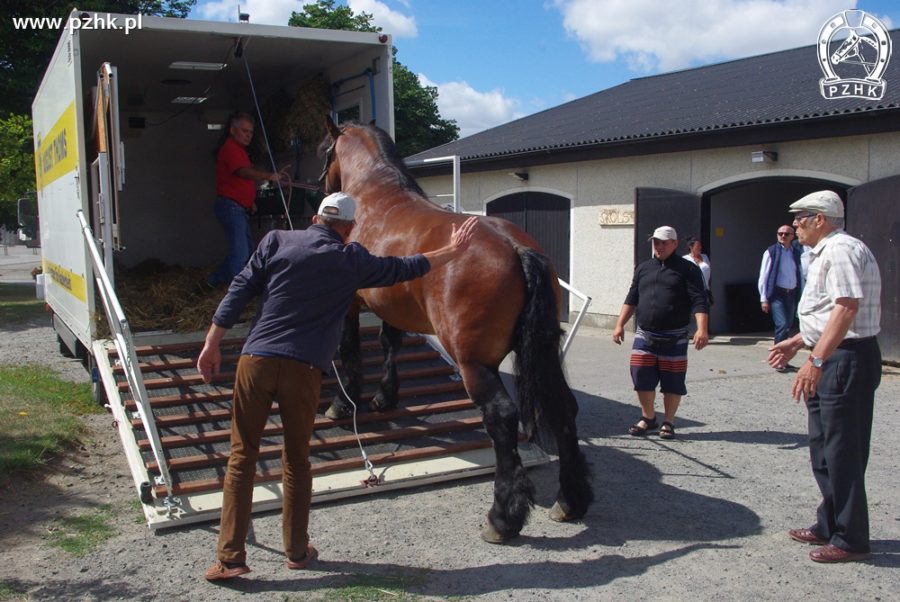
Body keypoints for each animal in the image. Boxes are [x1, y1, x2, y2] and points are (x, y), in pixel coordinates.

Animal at [320, 117, 596, 540]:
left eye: (323, 150)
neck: (375, 199)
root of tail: (517, 248)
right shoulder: (392, 306)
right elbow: (389, 342)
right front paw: (385, 396)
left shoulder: (351, 301)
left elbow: (350, 349)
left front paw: (343, 403)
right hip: (545, 354)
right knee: (564, 408)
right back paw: (569, 501)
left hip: (474, 364)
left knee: (501, 418)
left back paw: (502, 518)